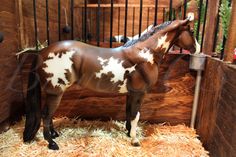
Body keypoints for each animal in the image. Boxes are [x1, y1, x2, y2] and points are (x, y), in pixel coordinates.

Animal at [24, 13, 200, 150]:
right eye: (192, 31)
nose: (197, 49)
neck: (145, 54)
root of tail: (42, 52)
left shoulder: (131, 93)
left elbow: (129, 113)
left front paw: (128, 133)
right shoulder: (139, 93)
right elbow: (136, 115)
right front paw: (135, 140)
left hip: (53, 92)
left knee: (49, 115)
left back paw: (54, 134)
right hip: (55, 92)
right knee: (46, 115)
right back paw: (51, 143)